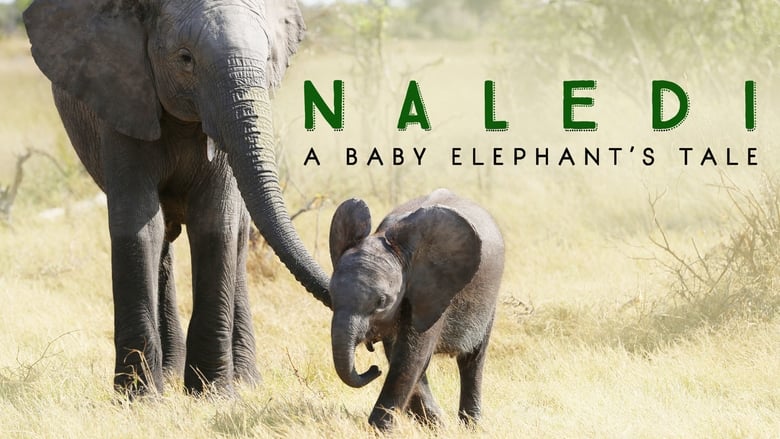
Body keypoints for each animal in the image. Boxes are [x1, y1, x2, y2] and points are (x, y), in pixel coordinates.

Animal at [23, 0, 332, 396]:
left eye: (267, 59)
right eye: (185, 58)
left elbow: (215, 223)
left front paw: (212, 394)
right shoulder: (124, 97)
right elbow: (140, 227)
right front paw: (139, 398)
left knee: (238, 234)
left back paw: (244, 381)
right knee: (164, 241)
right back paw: (168, 376)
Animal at [328, 188, 505, 430]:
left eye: (381, 302)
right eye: (331, 294)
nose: (374, 369)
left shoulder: (434, 290)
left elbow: (410, 358)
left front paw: (378, 429)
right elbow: (403, 356)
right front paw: (436, 425)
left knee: (473, 360)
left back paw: (470, 427)